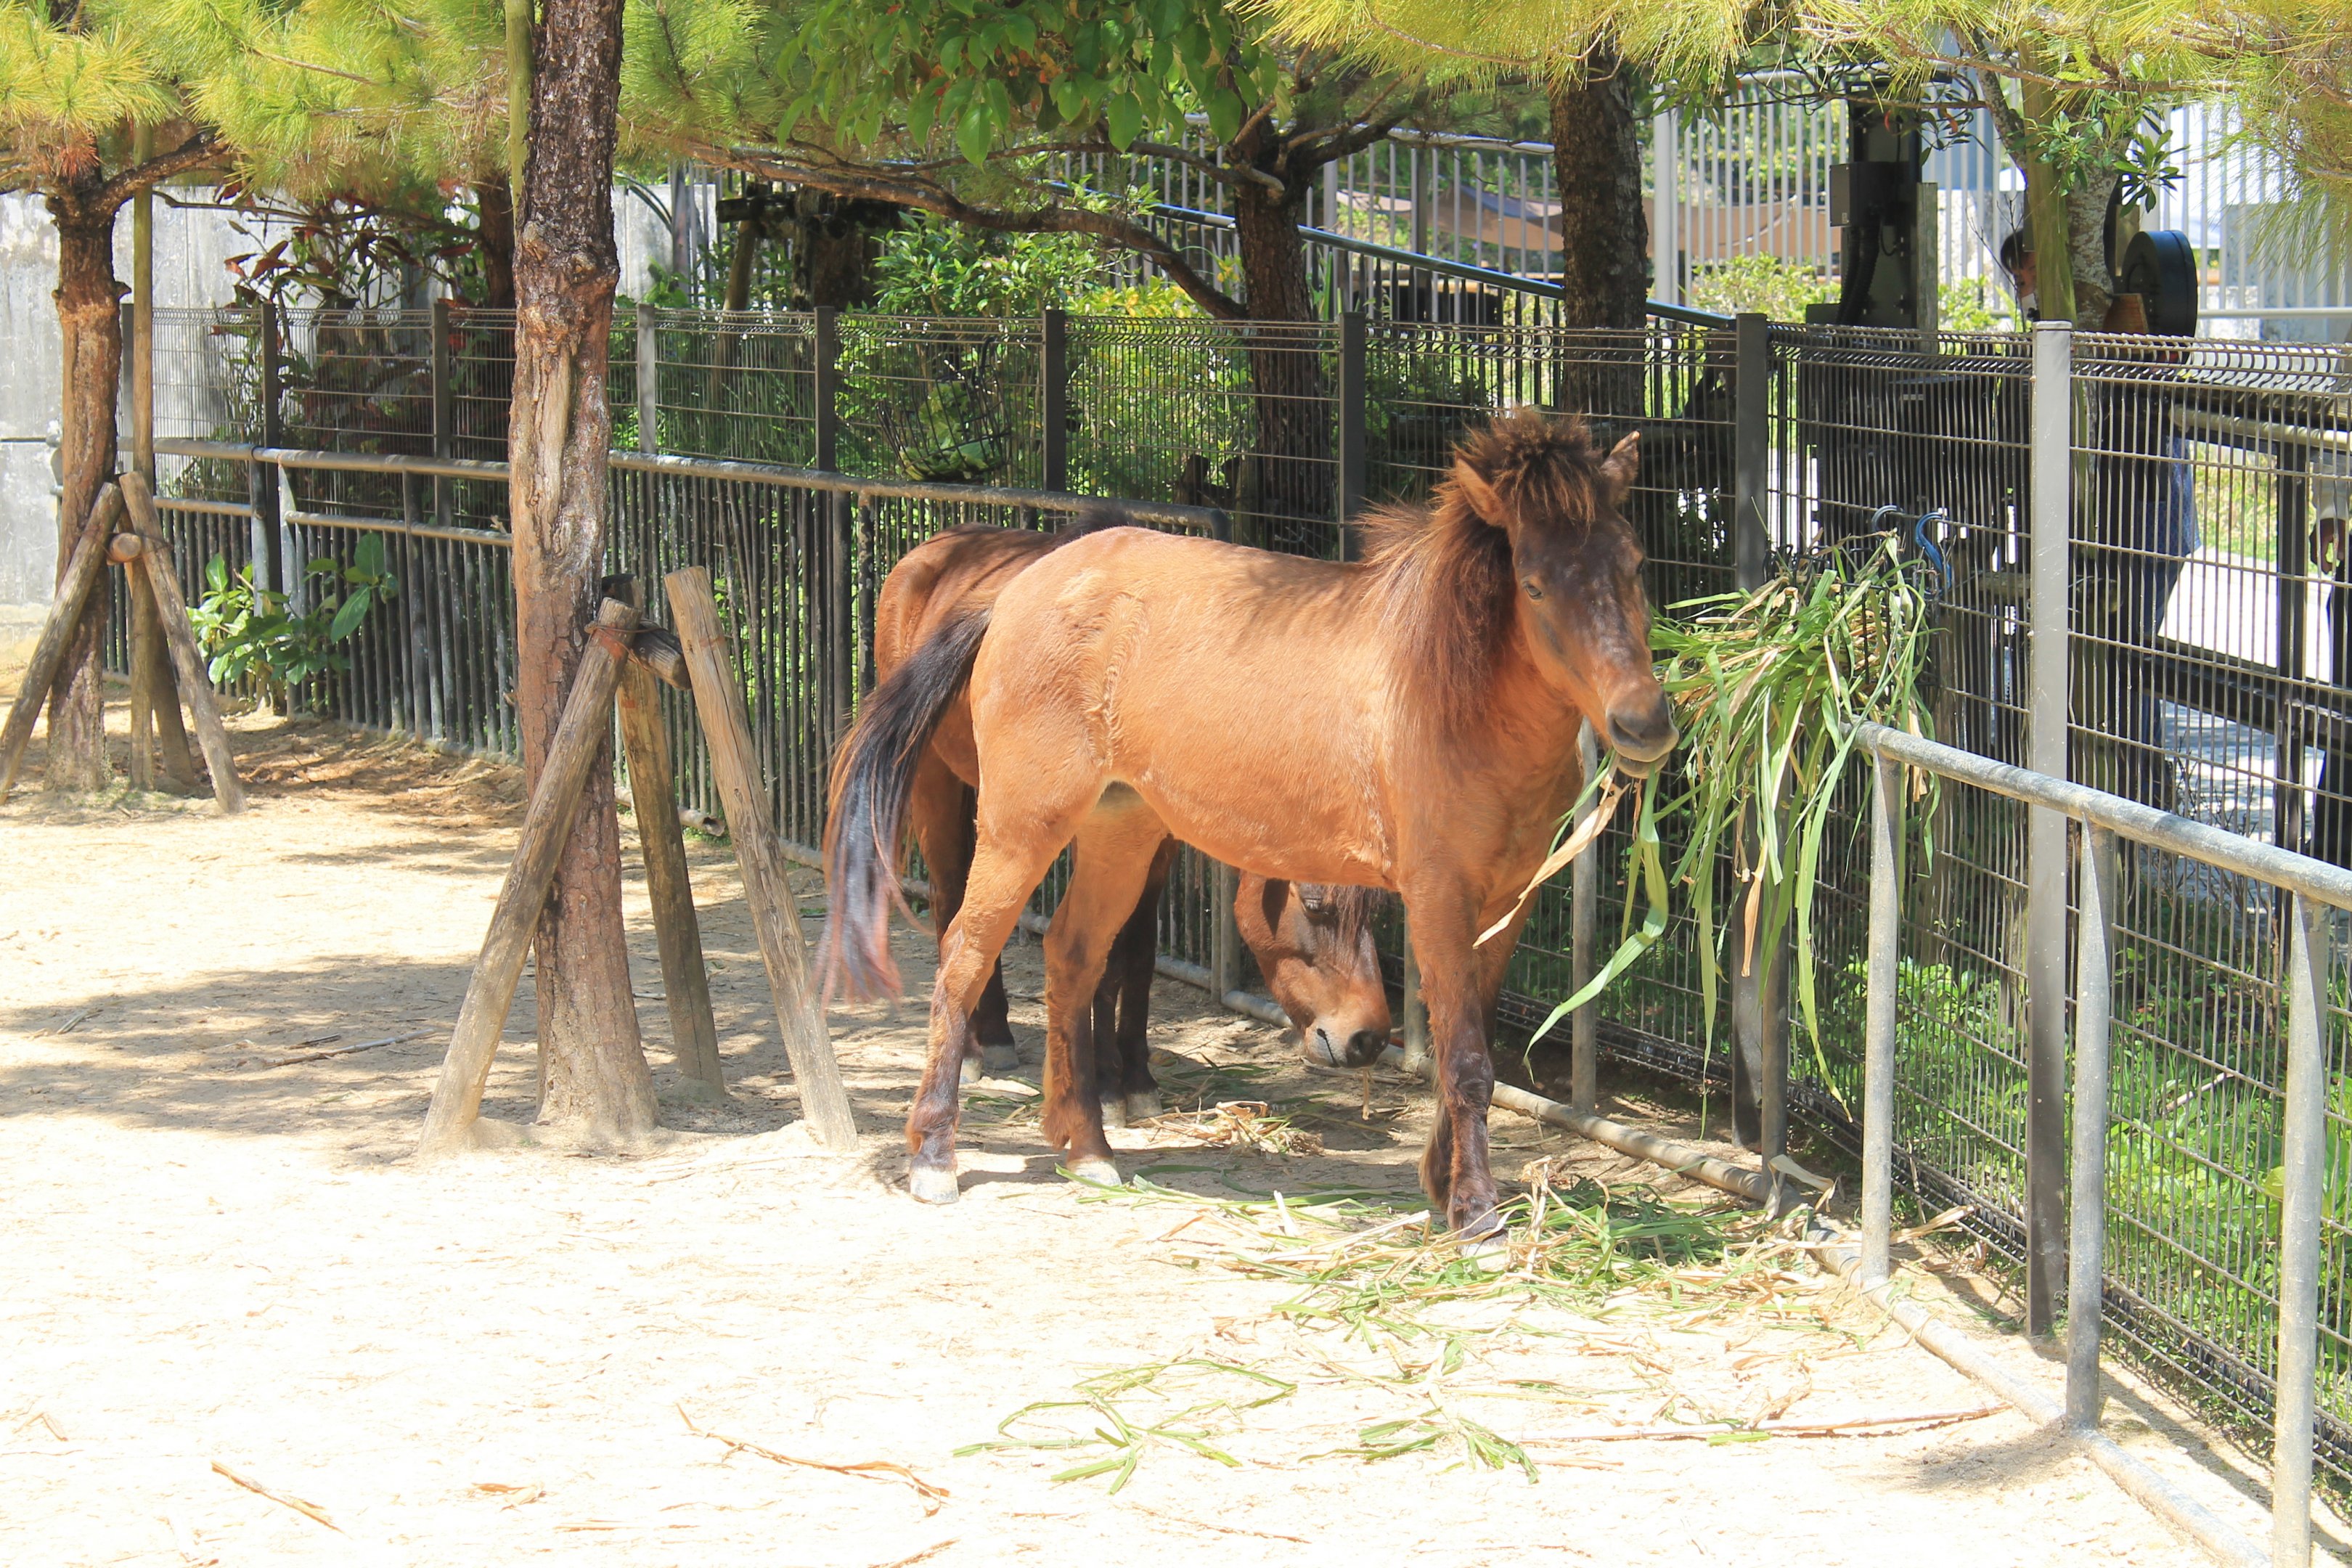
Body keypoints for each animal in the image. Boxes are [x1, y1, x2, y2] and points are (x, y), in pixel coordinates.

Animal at [867, 523, 1392, 1126]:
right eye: (1314, 904)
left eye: (1377, 909)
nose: (1368, 1041)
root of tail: (939, 544)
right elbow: (1099, 954)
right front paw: (1102, 1085)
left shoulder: (1154, 842)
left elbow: (1134, 952)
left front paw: (1134, 1078)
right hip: (936, 783)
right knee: (953, 902)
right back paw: (977, 1048)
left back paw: (998, 1034)